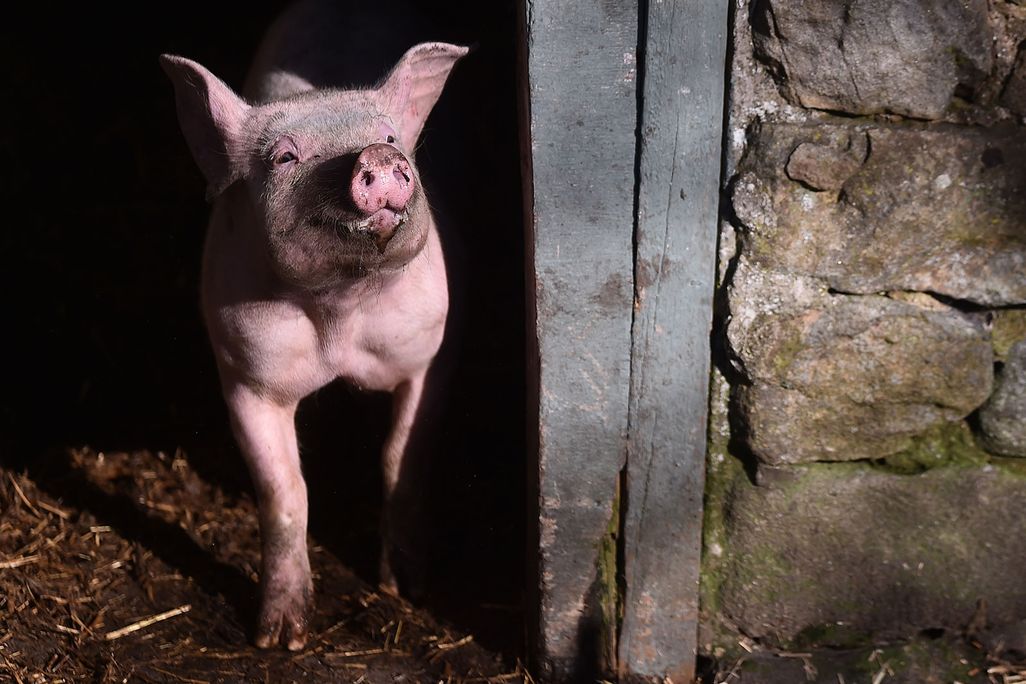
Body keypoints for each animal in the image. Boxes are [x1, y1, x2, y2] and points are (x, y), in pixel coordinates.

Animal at [160, 5, 467, 651]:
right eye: (284, 157)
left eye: (392, 139)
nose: (377, 157)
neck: (339, 310)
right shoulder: (246, 374)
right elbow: (284, 492)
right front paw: (281, 640)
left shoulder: (432, 354)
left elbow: (401, 457)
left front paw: (405, 590)